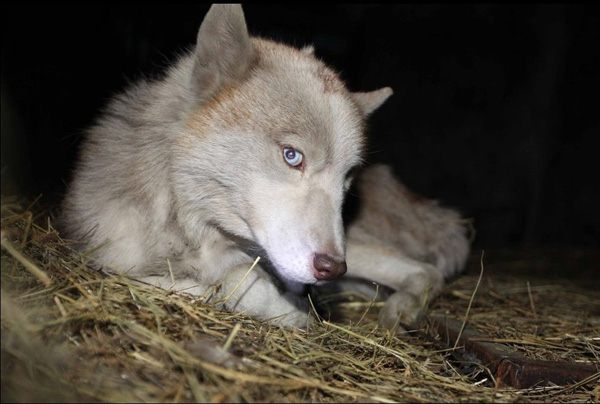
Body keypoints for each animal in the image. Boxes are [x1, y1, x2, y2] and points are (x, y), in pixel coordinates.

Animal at [61, 3, 468, 328]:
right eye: (292, 156)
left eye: (347, 179)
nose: (331, 268)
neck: (188, 225)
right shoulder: (102, 258)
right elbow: (203, 283)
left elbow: (237, 279)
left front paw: (297, 313)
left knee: (426, 271)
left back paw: (402, 308)